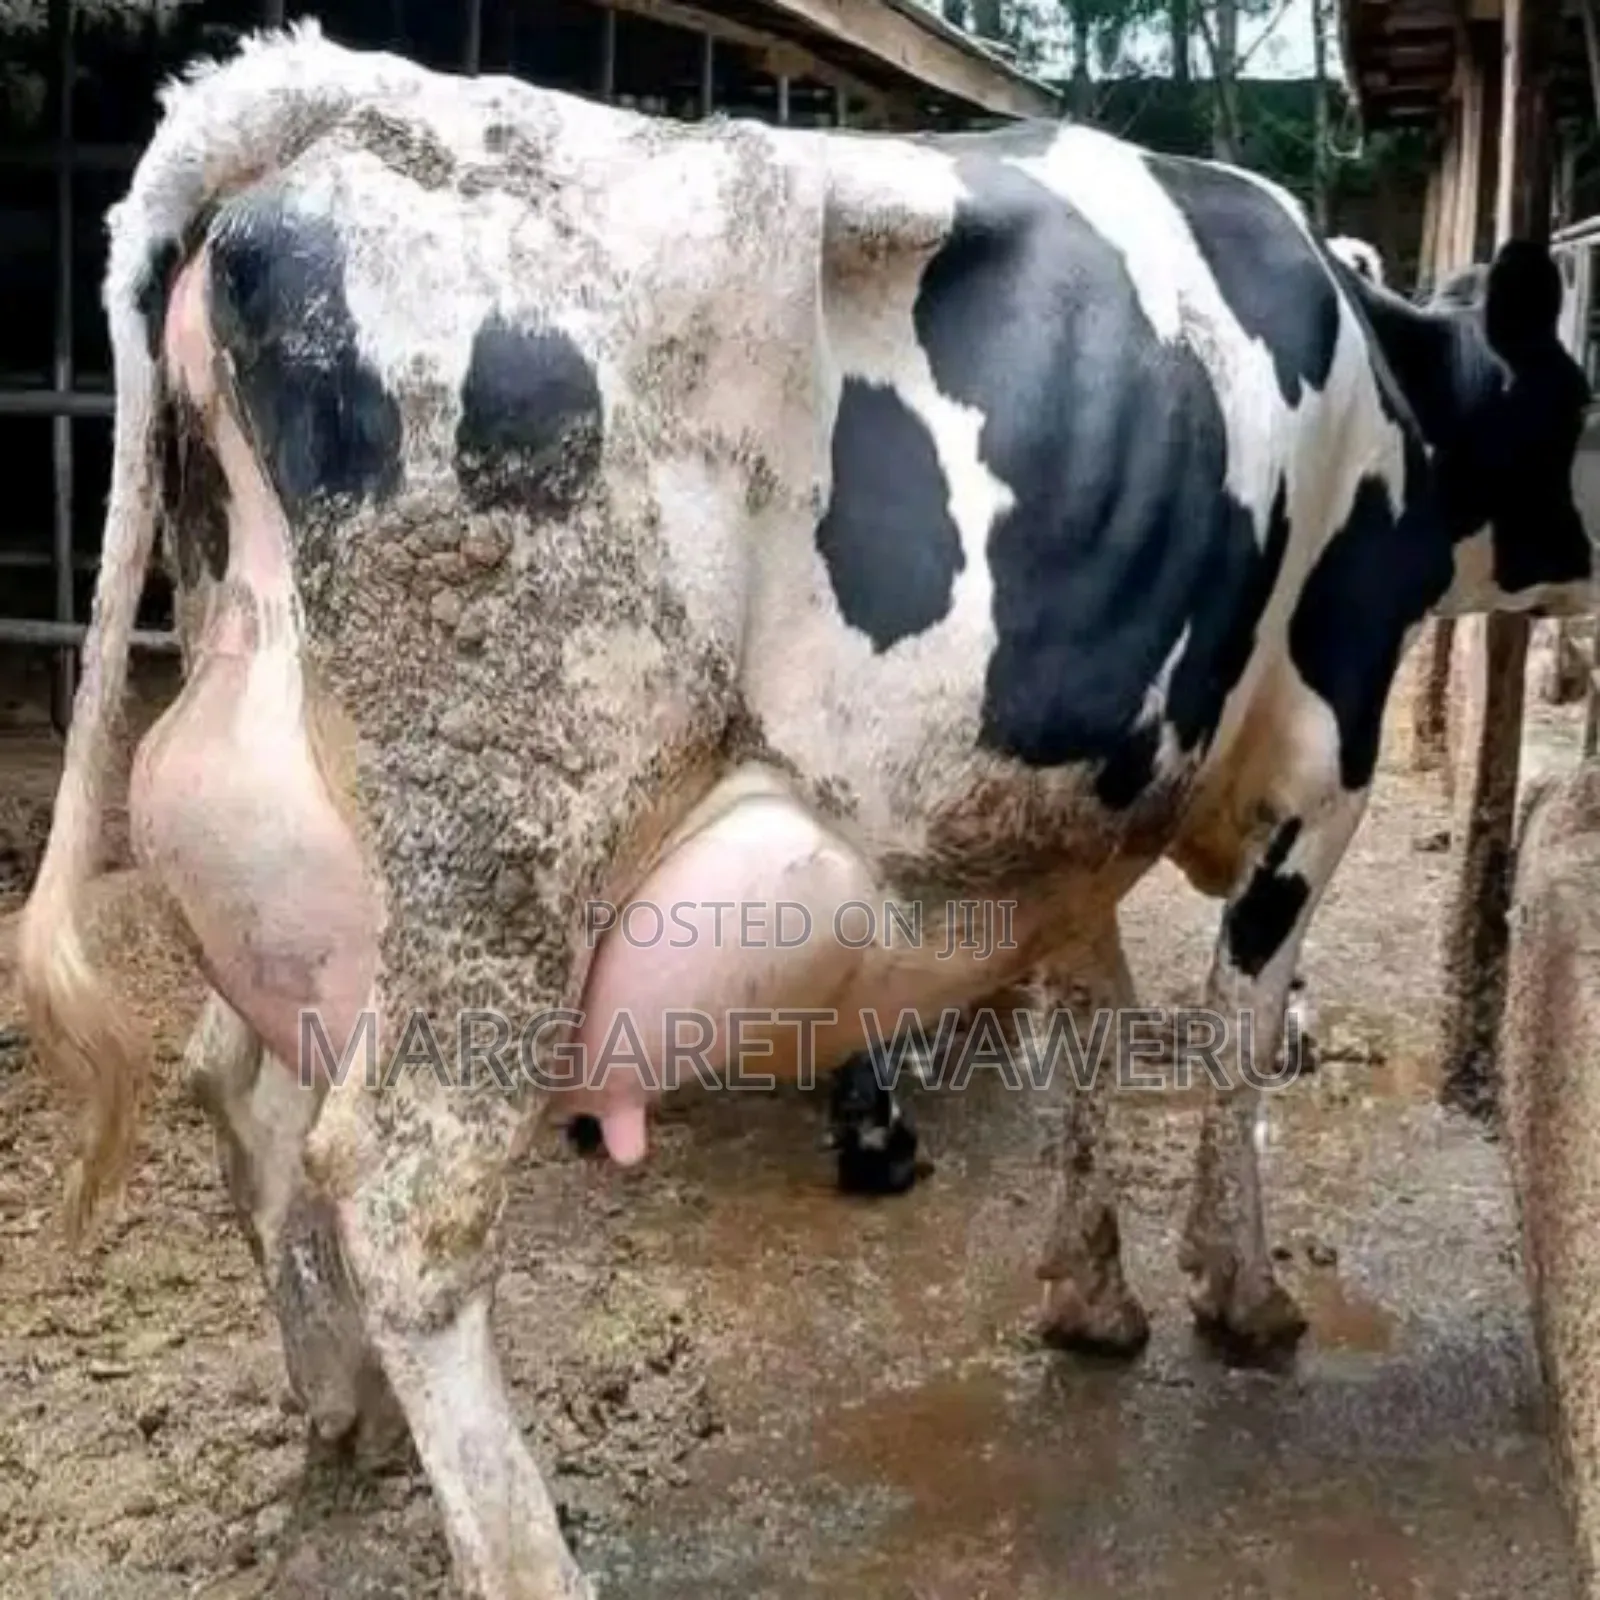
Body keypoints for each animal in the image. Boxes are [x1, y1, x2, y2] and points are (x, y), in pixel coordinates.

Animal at [17, 24, 1593, 1599]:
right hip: (511, 842)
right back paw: (527, 1554)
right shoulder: (1322, 761)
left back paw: (348, 1409)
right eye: (1583, 399)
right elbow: (1233, 1035)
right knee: (405, 1190)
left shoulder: (1083, 810)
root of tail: (325, 94)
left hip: (293, 868)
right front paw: (1241, 1291)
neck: (1393, 389)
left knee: (244, 1090)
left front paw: (1093, 1295)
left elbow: (1090, 1025)